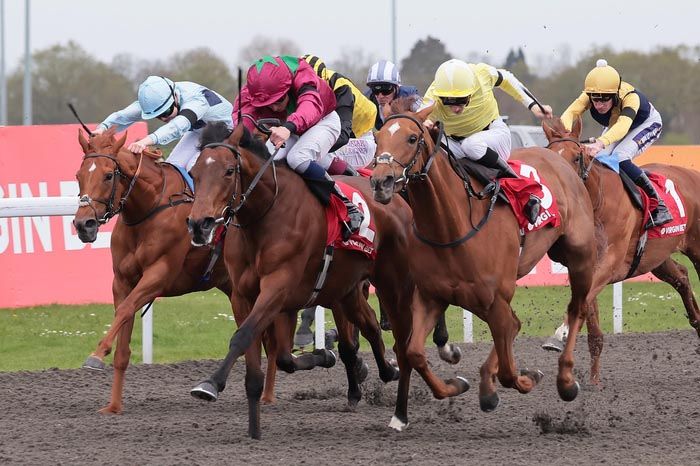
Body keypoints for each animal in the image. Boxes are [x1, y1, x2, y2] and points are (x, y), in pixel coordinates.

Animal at [72, 128, 278, 416]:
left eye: (108, 175)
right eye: (78, 175)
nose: (84, 225)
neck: (148, 210)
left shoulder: (159, 275)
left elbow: (124, 310)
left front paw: (97, 354)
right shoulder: (122, 282)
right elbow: (123, 338)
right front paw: (113, 406)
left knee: (270, 339)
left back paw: (267, 396)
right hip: (234, 289)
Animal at [186, 122, 412, 438]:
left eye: (229, 171)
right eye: (194, 172)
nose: (199, 224)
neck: (266, 215)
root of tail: (390, 198)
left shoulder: (278, 286)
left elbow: (242, 336)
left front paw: (210, 384)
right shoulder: (244, 296)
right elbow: (266, 355)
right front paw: (254, 429)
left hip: (391, 282)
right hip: (345, 290)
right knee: (368, 326)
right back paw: (385, 370)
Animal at [366, 102, 596, 430]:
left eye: (412, 138)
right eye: (377, 137)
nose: (380, 182)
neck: (452, 226)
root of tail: (558, 158)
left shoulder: (495, 298)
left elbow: (510, 372)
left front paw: (530, 378)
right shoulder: (431, 297)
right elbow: (414, 353)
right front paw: (456, 384)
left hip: (579, 257)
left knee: (577, 308)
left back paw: (564, 380)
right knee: (515, 325)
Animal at [544, 117, 700, 382]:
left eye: (576, 157)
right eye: (549, 155)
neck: (597, 203)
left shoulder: (609, 264)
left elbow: (581, 306)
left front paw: (560, 334)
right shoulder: (585, 267)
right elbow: (592, 325)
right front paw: (594, 381)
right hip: (656, 257)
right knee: (681, 276)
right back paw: (697, 321)